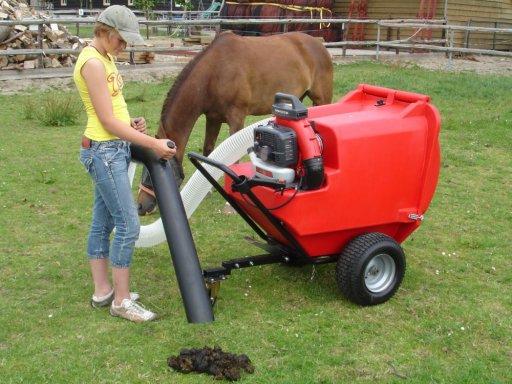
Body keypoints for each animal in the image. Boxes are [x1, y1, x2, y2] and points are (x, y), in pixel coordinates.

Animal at [138, 29, 334, 216]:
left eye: (156, 170)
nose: (141, 207)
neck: (215, 72)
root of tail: (319, 45)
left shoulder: (236, 118)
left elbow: (234, 161)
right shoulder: (213, 118)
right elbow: (209, 150)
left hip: (322, 99)